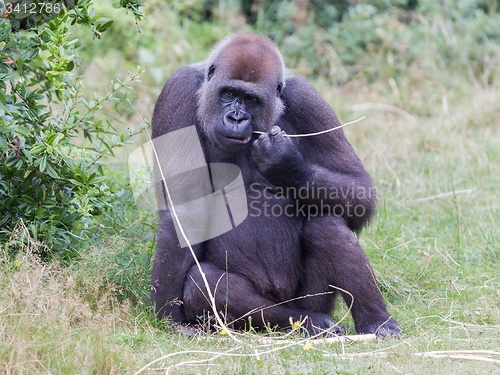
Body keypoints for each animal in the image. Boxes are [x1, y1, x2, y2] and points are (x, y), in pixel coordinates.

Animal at [149, 33, 402, 340]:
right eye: (228, 94)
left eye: (251, 99)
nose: (236, 118)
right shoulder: (178, 90)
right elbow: (186, 212)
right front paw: (170, 316)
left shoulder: (307, 98)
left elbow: (360, 190)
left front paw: (287, 166)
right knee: (206, 282)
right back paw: (307, 321)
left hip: (311, 299)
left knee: (326, 224)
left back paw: (376, 320)